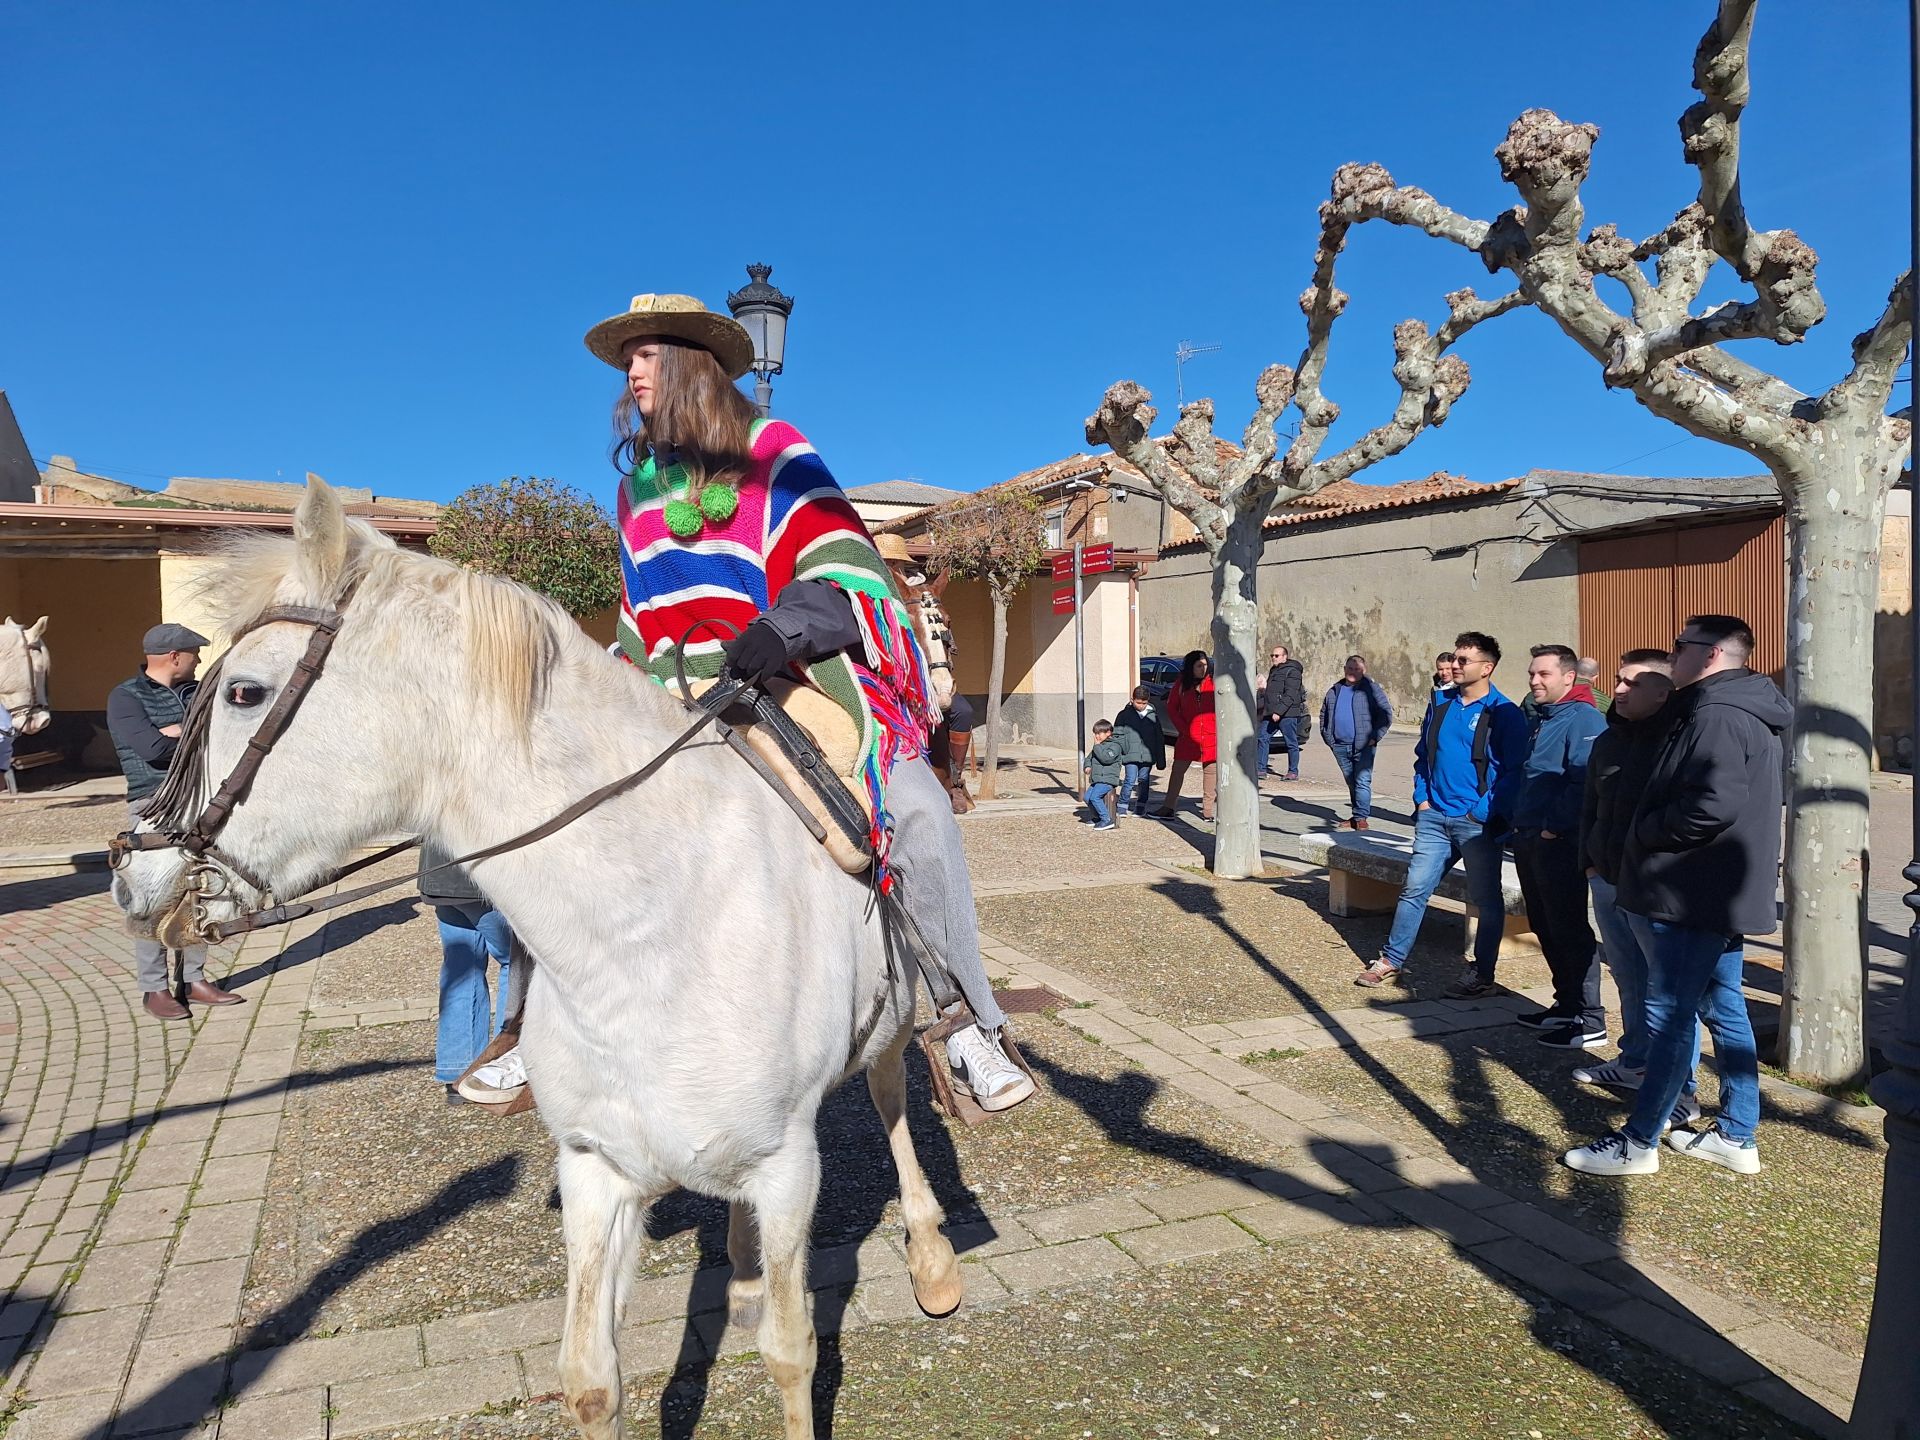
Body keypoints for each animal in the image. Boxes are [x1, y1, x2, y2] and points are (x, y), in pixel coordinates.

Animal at [112, 480, 967, 1436]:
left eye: (244, 692)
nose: (133, 874)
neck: (646, 944)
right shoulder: (597, 1169)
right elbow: (590, 1377)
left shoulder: (788, 1169)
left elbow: (792, 1353)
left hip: (892, 1025)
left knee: (893, 1099)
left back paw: (932, 1256)